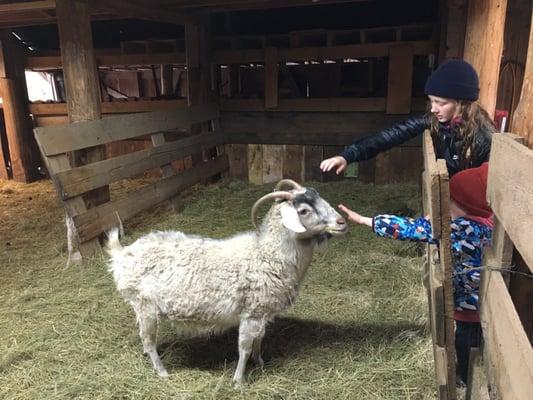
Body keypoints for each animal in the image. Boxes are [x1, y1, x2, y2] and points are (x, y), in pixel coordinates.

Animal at [106, 180, 348, 384]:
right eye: (304, 210)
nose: (341, 222)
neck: (267, 255)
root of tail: (122, 253)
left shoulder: (262, 313)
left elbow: (259, 341)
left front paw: (260, 363)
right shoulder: (251, 312)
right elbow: (244, 348)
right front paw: (239, 381)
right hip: (144, 305)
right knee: (148, 340)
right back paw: (162, 371)